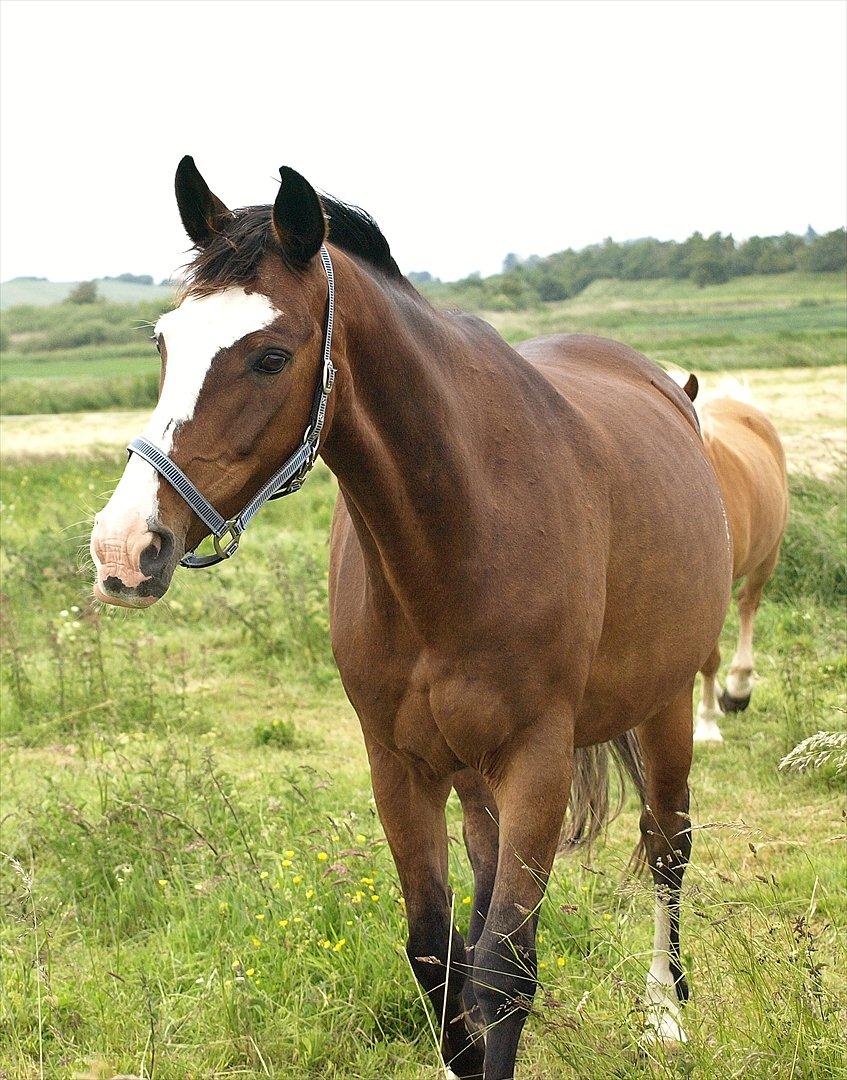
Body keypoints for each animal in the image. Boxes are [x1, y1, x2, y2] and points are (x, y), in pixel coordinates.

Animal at [89, 162, 730, 1080]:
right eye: (164, 342)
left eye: (270, 357)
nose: (124, 548)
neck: (460, 527)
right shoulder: (398, 765)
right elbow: (438, 953)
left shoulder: (536, 758)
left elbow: (504, 969)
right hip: (473, 775)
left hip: (665, 704)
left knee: (666, 844)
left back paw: (663, 1013)